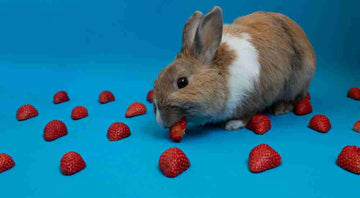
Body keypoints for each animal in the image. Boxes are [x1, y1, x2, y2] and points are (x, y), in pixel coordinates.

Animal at [154, 5, 316, 130]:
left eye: (182, 82)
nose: (160, 121)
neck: (222, 76)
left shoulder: (249, 97)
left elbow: (246, 115)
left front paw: (232, 125)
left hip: (296, 83)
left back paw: (281, 108)